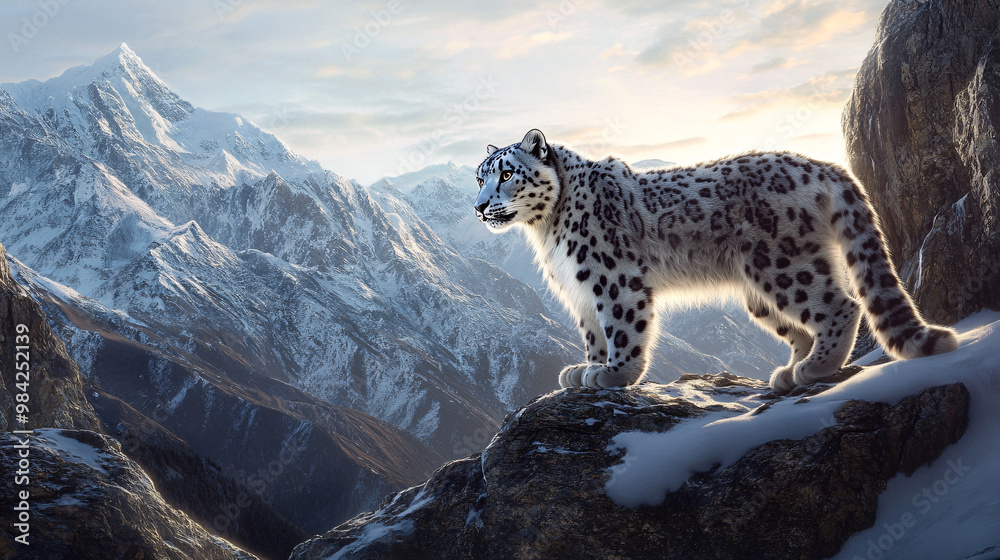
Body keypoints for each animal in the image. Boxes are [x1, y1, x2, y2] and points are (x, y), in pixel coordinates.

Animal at [474, 129, 959, 393]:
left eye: (506, 173)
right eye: (480, 177)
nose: (478, 207)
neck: (546, 230)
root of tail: (818, 164)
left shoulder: (612, 278)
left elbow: (622, 326)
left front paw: (615, 374)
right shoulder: (579, 290)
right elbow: (594, 333)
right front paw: (587, 368)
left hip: (783, 265)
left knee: (842, 305)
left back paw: (817, 367)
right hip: (760, 292)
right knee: (801, 327)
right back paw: (787, 373)